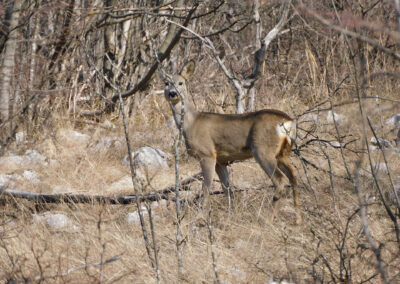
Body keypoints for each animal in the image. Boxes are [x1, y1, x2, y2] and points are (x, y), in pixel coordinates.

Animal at [164, 60, 302, 224]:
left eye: (181, 82)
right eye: (166, 83)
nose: (172, 93)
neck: (191, 123)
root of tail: (288, 121)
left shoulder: (207, 154)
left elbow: (206, 187)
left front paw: (199, 217)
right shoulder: (221, 160)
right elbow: (227, 188)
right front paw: (232, 215)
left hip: (263, 149)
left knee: (279, 179)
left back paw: (268, 219)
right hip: (283, 152)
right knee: (293, 175)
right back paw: (298, 218)